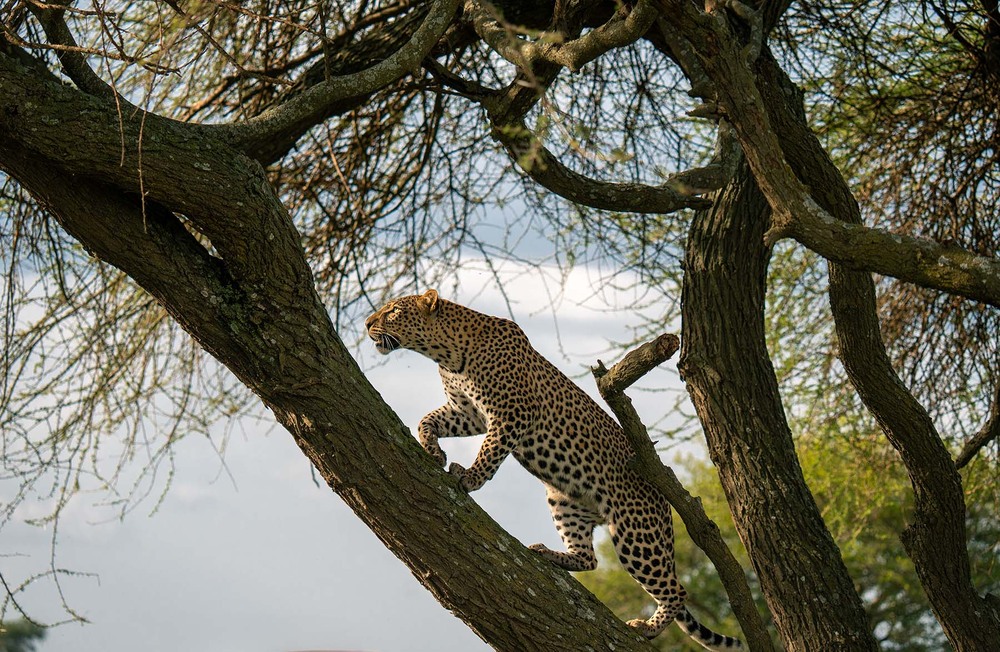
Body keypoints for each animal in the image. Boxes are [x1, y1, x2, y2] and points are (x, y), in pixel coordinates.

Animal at [365, 289, 743, 650]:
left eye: (394, 310)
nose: (368, 323)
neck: (445, 355)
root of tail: (664, 500)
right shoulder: (468, 413)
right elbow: (427, 419)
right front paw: (433, 450)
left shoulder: (513, 414)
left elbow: (490, 452)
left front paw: (469, 478)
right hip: (564, 501)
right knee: (589, 559)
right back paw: (551, 555)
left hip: (637, 533)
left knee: (676, 591)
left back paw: (647, 628)